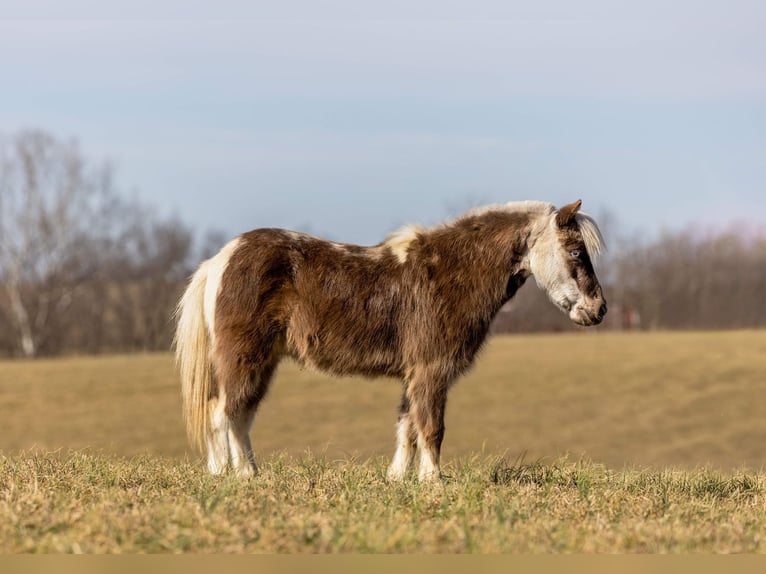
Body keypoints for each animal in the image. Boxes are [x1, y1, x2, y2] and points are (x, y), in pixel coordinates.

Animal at [174, 199, 606, 481]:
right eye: (574, 251)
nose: (598, 309)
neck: (448, 273)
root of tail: (220, 260)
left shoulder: (413, 374)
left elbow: (407, 426)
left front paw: (398, 479)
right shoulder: (431, 371)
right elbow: (431, 427)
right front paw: (433, 483)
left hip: (261, 363)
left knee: (240, 416)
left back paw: (247, 473)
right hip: (244, 359)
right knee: (223, 414)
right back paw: (233, 475)